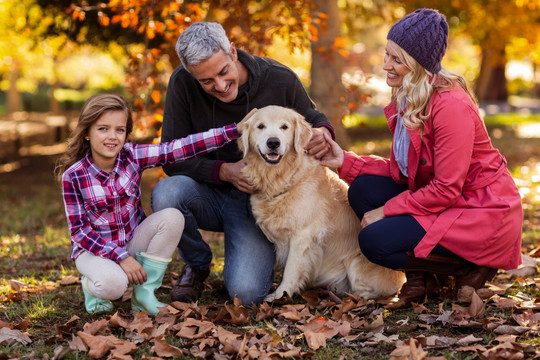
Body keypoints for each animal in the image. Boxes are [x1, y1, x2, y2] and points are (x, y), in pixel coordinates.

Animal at [237, 105, 404, 302]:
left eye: (284, 127)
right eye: (260, 126)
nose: (273, 143)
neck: (282, 178)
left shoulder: (303, 235)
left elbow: (291, 270)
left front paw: (280, 296)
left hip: (356, 265)